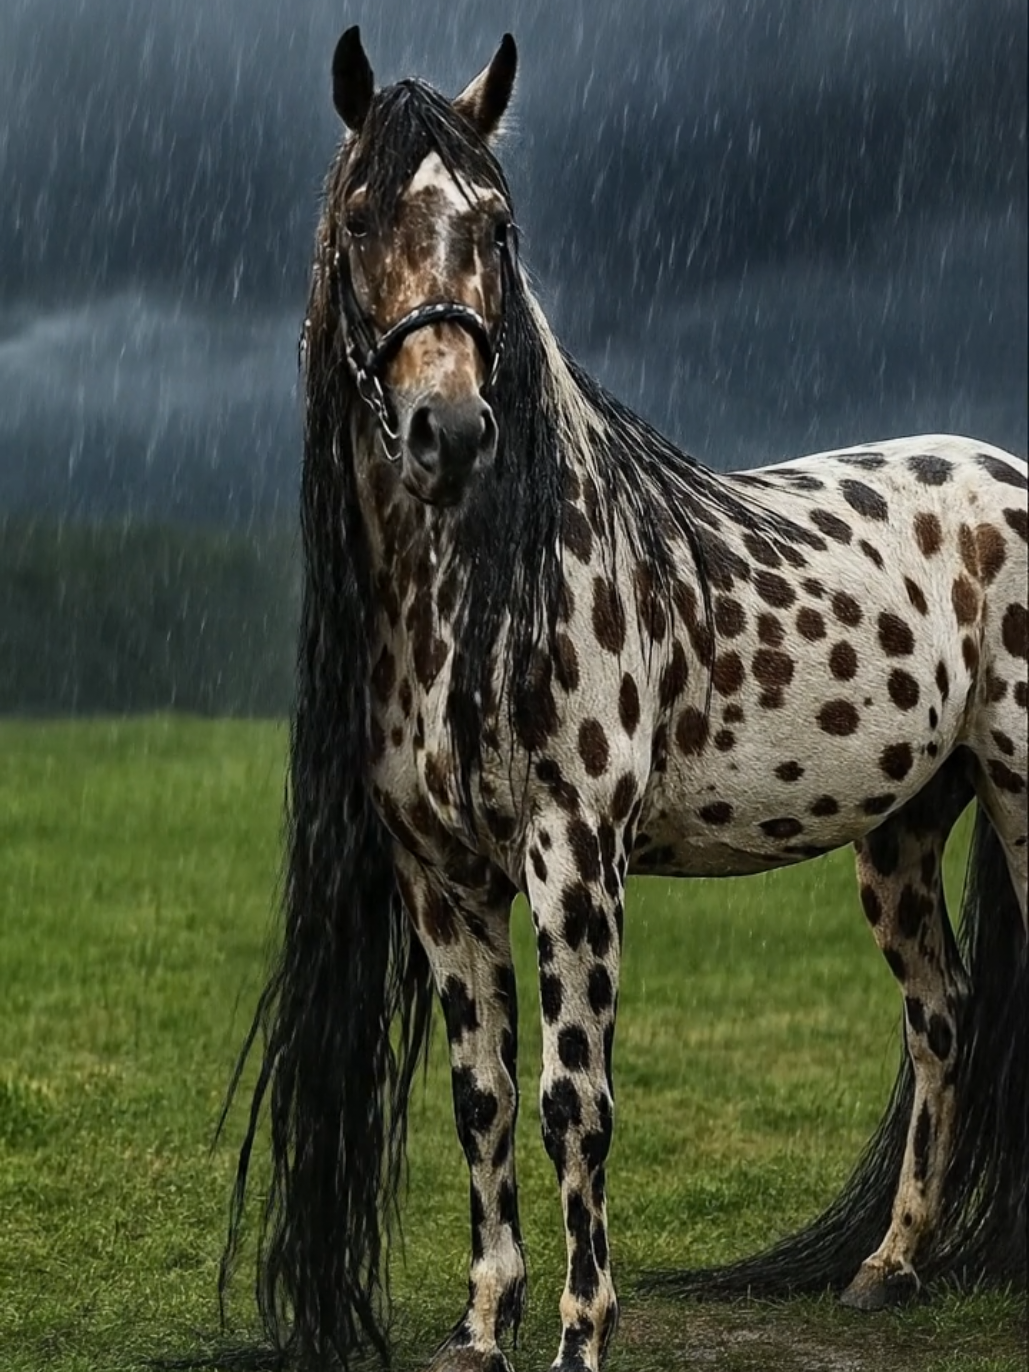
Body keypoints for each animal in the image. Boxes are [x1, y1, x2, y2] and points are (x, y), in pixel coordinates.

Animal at [221, 27, 1028, 1372]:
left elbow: (572, 1100)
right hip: (902, 834)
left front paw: (582, 1332)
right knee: (942, 1014)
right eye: (359, 218)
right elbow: (483, 1094)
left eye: (497, 224)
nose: (450, 429)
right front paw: (482, 1324)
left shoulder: (574, 856)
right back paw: (888, 1265)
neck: (471, 595)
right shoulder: (438, 879)